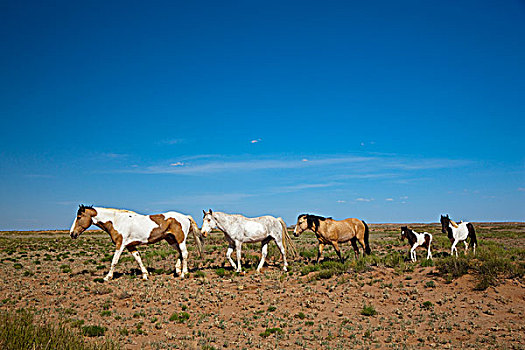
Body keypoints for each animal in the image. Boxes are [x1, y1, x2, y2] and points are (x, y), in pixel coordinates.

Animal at [68, 205, 203, 282]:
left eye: (79, 217)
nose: (72, 233)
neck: (116, 221)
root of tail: (185, 217)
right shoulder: (130, 246)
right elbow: (138, 259)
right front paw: (145, 275)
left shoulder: (120, 244)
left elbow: (114, 261)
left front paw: (107, 277)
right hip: (171, 240)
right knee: (180, 253)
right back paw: (178, 271)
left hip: (180, 239)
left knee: (184, 253)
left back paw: (184, 274)